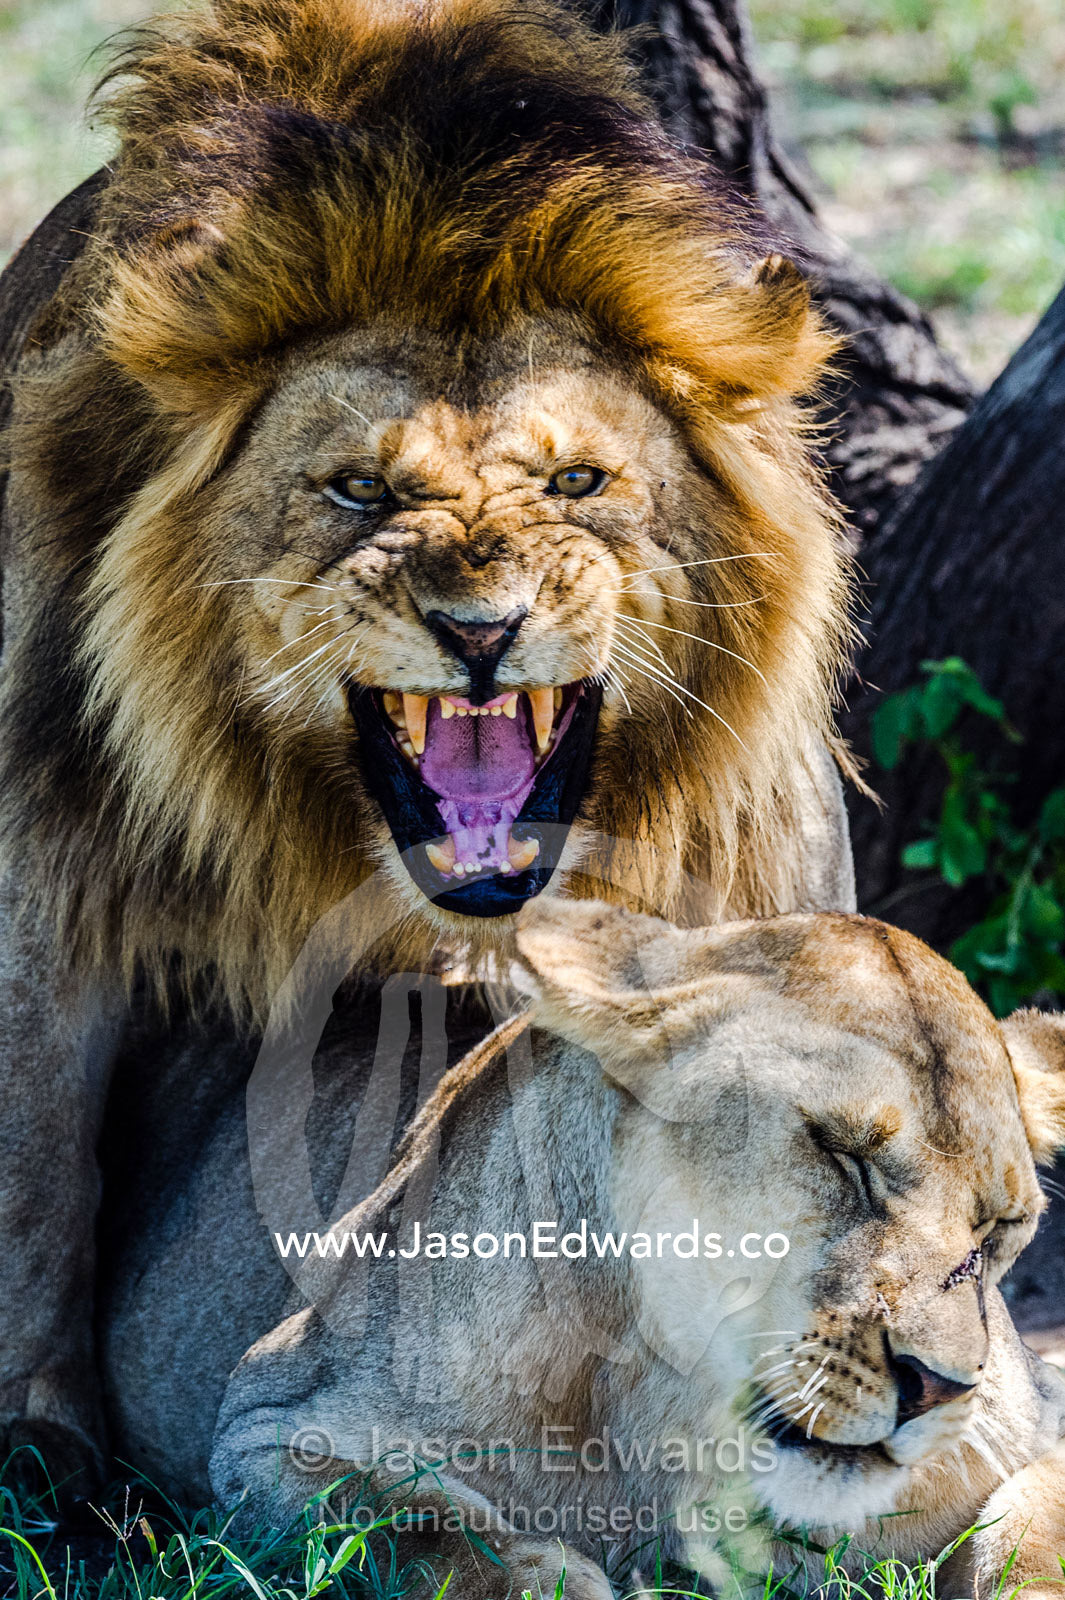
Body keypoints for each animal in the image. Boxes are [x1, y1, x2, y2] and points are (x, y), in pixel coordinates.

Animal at [0, 0, 854, 1491]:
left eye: (576, 482)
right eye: (359, 489)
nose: (479, 626)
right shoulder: (37, 854)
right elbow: (31, 1170)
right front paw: (38, 1462)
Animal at [96, 901, 1065, 1599]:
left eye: (998, 1230)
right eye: (841, 1153)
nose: (938, 1387)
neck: (665, 1412)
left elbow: (1032, 1528)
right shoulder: (270, 1426)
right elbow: (427, 1527)